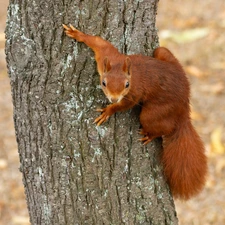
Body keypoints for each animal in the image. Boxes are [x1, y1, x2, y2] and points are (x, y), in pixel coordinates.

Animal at [62, 24, 207, 200]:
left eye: (126, 85)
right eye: (104, 83)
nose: (113, 99)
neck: (124, 70)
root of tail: (185, 105)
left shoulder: (134, 93)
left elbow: (125, 105)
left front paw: (108, 111)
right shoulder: (107, 56)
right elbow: (100, 43)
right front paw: (78, 34)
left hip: (153, 113)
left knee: (163, 127)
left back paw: (150, 135)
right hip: (163, 53)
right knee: (161, 51)